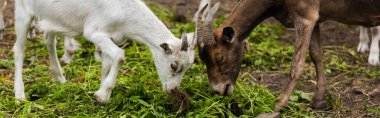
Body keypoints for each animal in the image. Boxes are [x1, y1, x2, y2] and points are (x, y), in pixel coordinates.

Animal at [13, 0, 215, 109]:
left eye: (188, 68)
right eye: (174, 65)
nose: (173, 90)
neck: (125, 12)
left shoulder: (111, 37)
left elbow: (107, 64)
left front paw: (101, 93)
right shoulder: (94, 32)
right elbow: (119, 56)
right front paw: (102, 96)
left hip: (54, 18)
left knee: (48, 37)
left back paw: (60, 79)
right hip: (22, 12)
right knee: (18, 50)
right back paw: (20, 95)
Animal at [196, 0, 380, 116]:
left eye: (219, 58)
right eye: (203, 59)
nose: (218, 90)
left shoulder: (305, 16)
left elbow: (297, 65)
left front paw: (276, 105)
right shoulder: (315, 20)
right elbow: (316, 55)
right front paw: (319, 101)